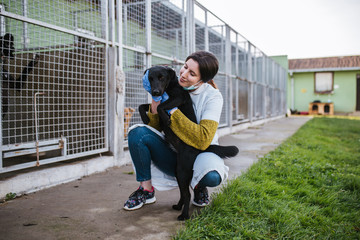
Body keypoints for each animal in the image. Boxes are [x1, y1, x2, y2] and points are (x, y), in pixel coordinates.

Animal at [139, 65, 239, 219]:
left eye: (161, 77)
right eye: (150, 78)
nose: (155, 92)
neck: (171, 85)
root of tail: (199, 149)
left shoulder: (178, 97)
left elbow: (161, 106)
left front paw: (166, 118)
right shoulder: (155, 104)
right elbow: (143, 106)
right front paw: (145, 118)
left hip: (182, 170)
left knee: (187, 194)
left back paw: (184, 215)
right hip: (178, 171)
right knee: (183, 192)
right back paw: (178, 206)